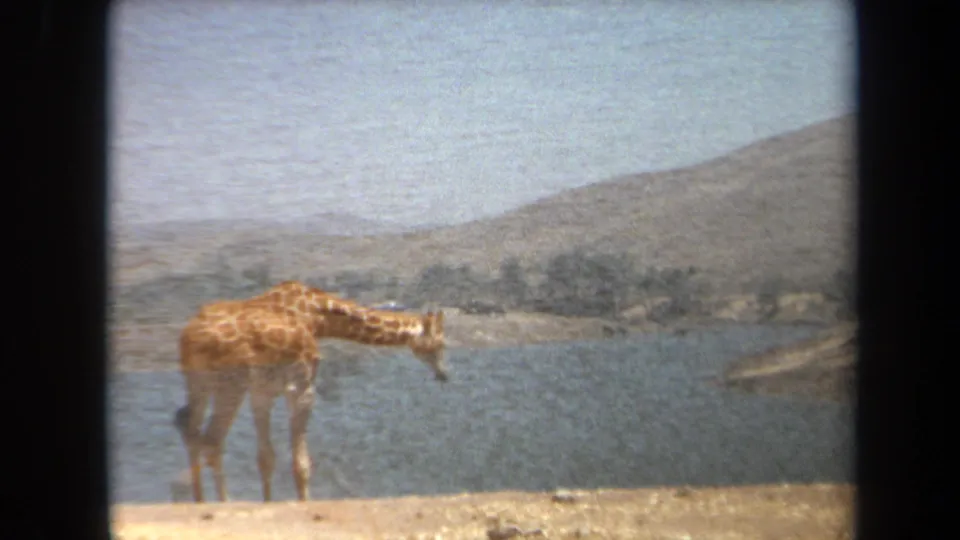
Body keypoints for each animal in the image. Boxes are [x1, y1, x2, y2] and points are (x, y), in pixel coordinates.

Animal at [174, 281, 448, 503]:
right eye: (441, 343)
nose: (443, 374)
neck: (317, 316)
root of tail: (189, 338)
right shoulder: (302, 386)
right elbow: (301, 464)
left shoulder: (263, 392)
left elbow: (266, 458)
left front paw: (269, 504)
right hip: (231, 385)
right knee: (211, 439)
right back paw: (223, 503)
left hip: (198, 383)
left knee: (190, 429)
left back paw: (200, 501)